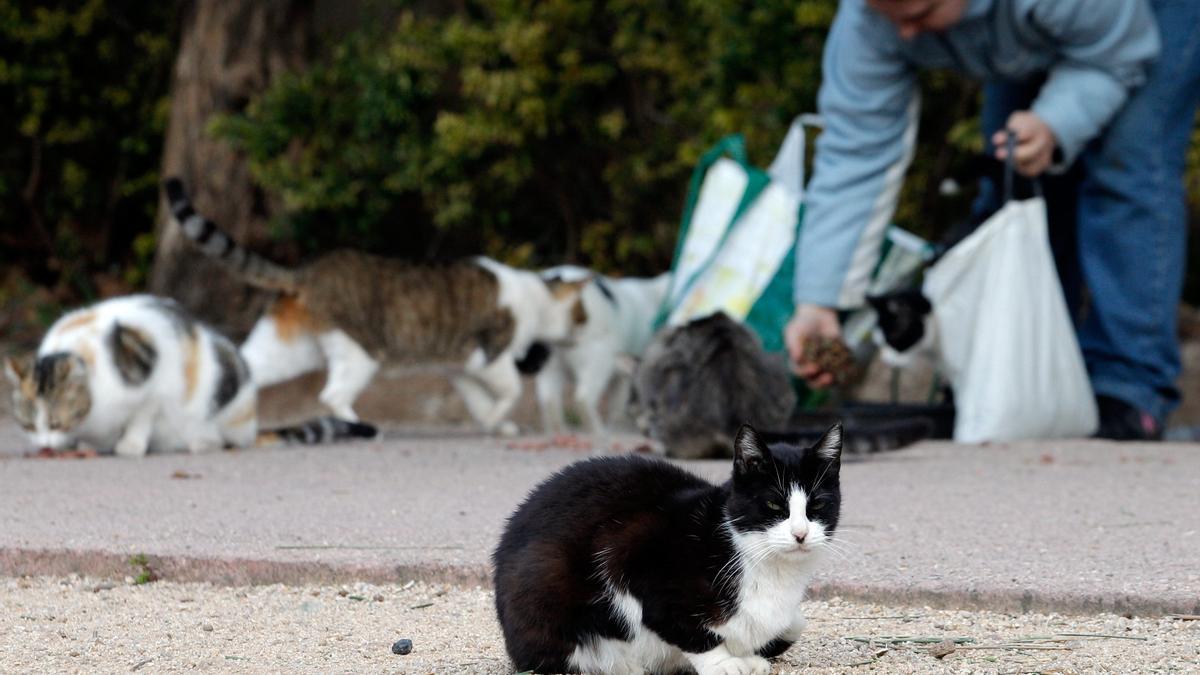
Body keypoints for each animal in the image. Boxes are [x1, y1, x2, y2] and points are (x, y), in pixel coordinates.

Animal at [3, 293, 374, 454]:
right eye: (28, 426)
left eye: (55, 422)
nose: (45, 446)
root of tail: (251, 426)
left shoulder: (156, 382)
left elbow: (142, 415)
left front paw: (129, 445)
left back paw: (200, 441)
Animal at [492, 420, 840, 667]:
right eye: (773, 505)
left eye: (818, 505)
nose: (800, 534)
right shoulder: (629, 550)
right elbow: (678, 623)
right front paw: (725, 664)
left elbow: (794, 623)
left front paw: (747, 658)